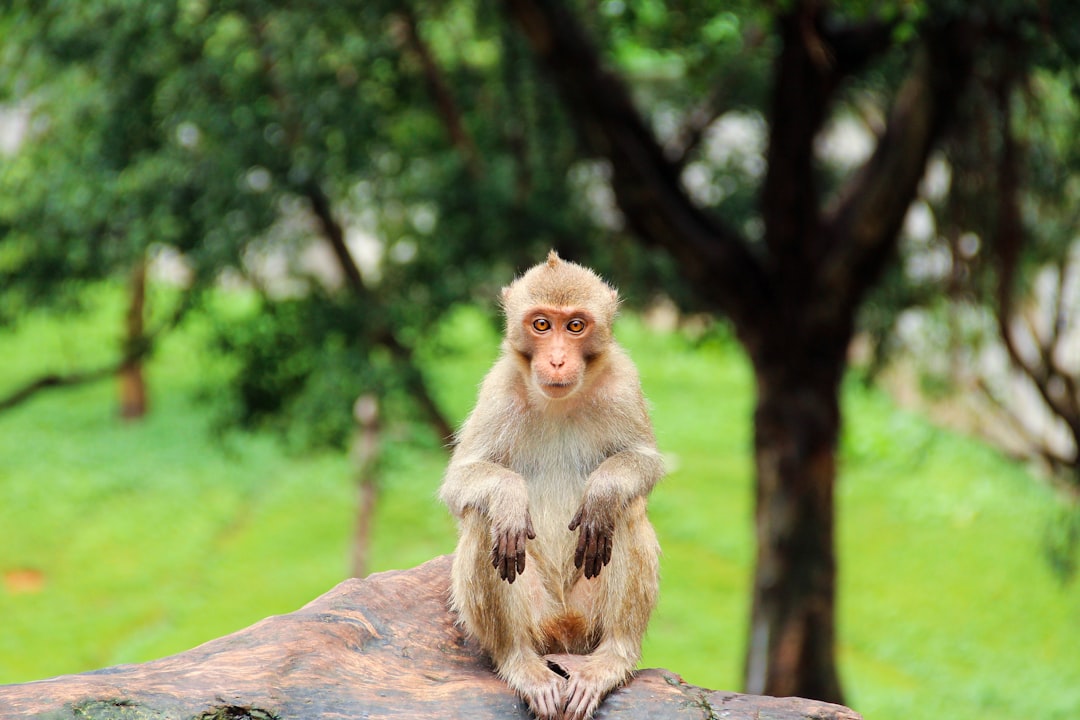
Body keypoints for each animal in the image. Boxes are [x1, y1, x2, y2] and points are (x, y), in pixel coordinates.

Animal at [439, 251, 664, 720]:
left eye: (575, 326)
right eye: (542, 325)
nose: (558, 360)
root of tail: (564, 631)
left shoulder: (624, 381)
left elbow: (645, 465)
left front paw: (603, 491)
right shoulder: (498, 388)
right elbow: (459, 483)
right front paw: (509, 496)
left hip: (588, 615)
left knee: (628, 510)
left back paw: (612, 658)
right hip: (536, 615)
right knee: (484, 521)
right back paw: (519, 662)